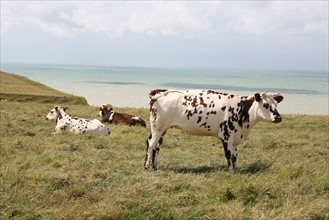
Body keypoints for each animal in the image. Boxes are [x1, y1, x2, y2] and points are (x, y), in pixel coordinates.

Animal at [145, 89, 284, 172]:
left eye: (276, 105)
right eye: (266, 105)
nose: (278, 117)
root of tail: (160, 91)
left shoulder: (234, 138)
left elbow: (235, 155)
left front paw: (235, 170)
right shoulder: (226, 136)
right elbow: (229, 155)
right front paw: (231, 172)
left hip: (162, 129)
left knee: (155, 146)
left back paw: (155, 167)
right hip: (158, 127)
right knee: (151, 144)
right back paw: (146, 167)